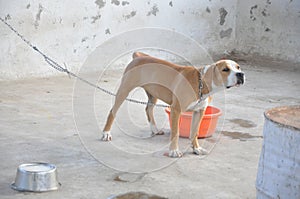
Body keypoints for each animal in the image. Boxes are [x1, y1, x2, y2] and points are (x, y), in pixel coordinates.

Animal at [102, 52, 245, 158]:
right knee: (112, 111)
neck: (200, 84)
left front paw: (196, 148)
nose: (241, 74)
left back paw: (155, 129)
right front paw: (174, 151)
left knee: (148, 109)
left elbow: (195, 132)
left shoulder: (199, 111)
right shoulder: (176, 110)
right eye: (225, 69)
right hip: (124, 90)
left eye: (238, 67)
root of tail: (138, 57)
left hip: (153, 93)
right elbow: (175, 132)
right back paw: (106, 133)